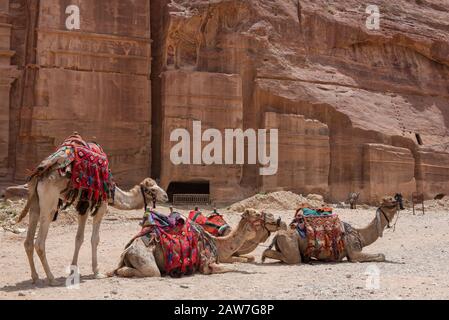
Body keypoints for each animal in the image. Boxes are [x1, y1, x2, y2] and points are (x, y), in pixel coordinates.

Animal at [110, 208, 268, 278]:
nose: (263, 214)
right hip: (143, 257)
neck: (217, 242)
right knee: (152, 271)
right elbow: (229, 266)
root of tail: (128, 249)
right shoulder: (206, 263)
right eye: (255, 214)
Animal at [260, 196, 400, 264]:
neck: (360, 234)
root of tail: (277, 235)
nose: (398, 200)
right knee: (293, 258)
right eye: (389, 200)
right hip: (289, 241)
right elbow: (381, 255)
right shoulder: (354, 252)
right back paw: (263, 257)